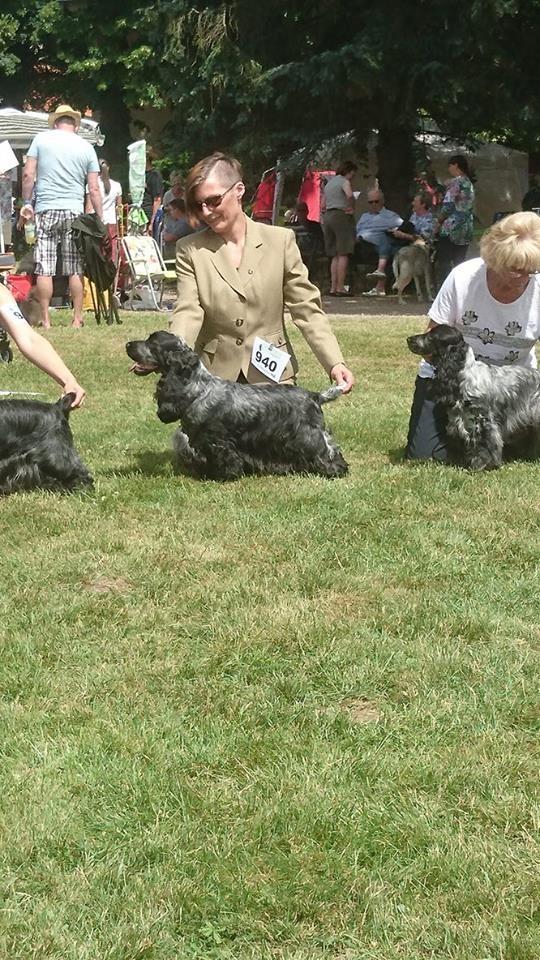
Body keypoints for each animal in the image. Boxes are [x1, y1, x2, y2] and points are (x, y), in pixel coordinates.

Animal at [124, 332, 348, 480]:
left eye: (152, 343)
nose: (127, 344)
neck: (199, 390)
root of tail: (315, 396)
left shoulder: (216, 440)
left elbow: (225, 459)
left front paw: (222, 475)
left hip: (307, 435)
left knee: (327, 451)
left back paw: (335, 470)